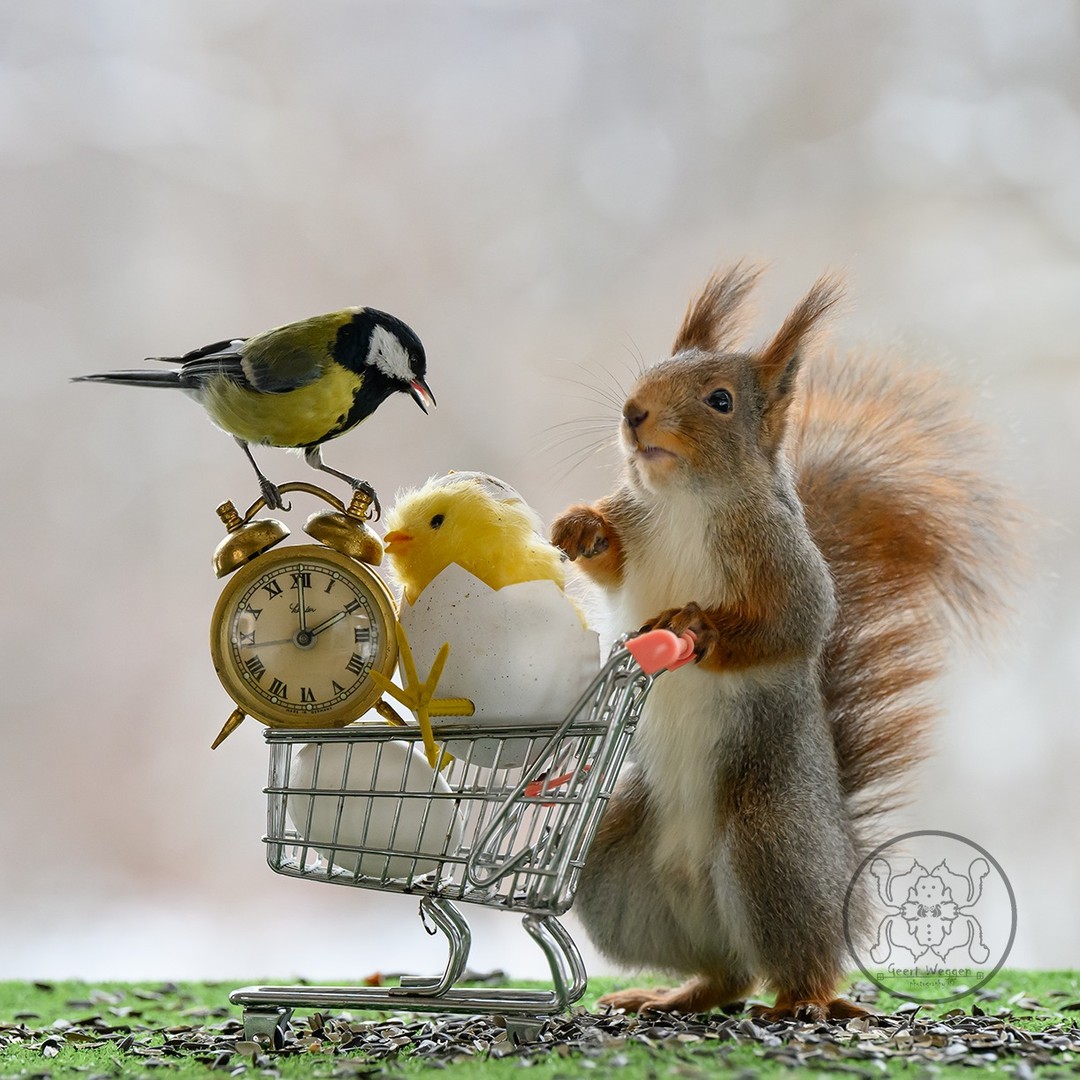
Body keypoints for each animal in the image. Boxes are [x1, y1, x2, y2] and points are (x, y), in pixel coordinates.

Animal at [550, 264, 1017, 1022]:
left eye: (720, 400)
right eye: (649, 373)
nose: (633, 412)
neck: (685, 500)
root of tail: (846, 871)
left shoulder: (787, 564)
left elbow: (791, 627)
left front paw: (701, 627)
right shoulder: (636, 523)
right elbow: (607, 563)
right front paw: (580, 526)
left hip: (771, 849)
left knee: (801, 963)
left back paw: (801, 1000)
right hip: (611, 856)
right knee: (728, 973)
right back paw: (671, 993)